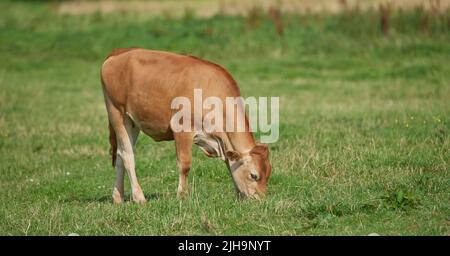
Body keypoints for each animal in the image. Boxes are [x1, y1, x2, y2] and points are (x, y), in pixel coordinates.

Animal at [101, 48, 270, 204]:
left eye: (269, 174)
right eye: (254, 175)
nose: (261, 201)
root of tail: (121, 52)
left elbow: (229, 164)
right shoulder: (183, 129)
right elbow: (185, 164)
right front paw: (182, 196)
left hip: (132, 122)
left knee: (120, 154)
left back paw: (118, 197)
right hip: (117, 113)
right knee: (127, 155)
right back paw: (139, 197)